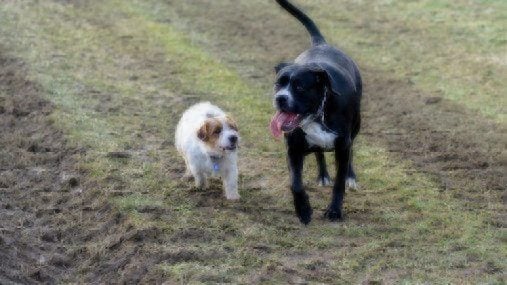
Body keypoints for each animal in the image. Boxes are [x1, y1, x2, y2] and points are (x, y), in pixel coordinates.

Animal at [270, 0, 362, 223]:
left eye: (299, 87)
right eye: (278, 84)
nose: (280, 98)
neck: (317, 115)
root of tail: (321, 45)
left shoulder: (343, 146)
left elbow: (339, 182)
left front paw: (335, 211)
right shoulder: (293, 150)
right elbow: (295, 183)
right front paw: (303, 210)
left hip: (357, 125)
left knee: (352, 149)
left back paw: (351, 176)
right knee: (319, 152)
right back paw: (322, 175)